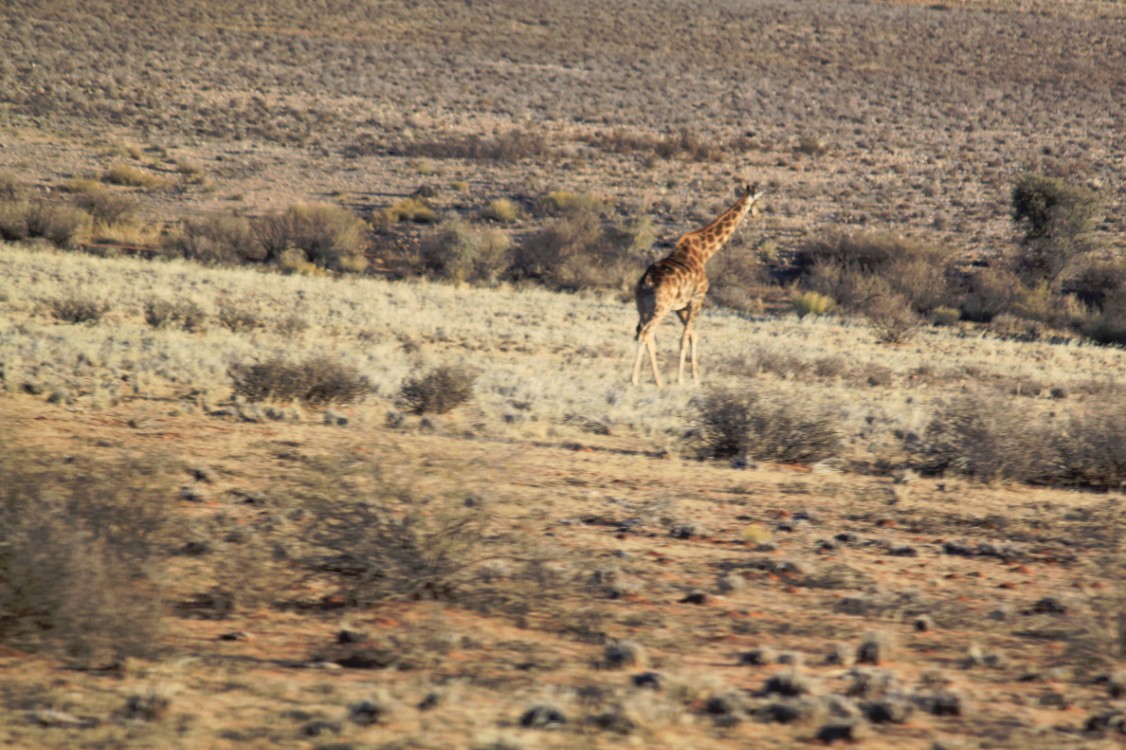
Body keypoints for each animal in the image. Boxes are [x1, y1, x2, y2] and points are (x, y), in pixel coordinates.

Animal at [630, 181, 761, 385]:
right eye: (756, 202)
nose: (758, 214)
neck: (704, 253)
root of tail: (646, 280)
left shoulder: (681, 307)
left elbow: (693, 335)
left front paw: (695, 376)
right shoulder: (697, 299)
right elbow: (684, 337)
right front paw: (680, 379)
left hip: (642, 307)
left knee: (644, 333)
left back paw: (658, 380)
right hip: (661, 307)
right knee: (645, 333)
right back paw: (634, 379)